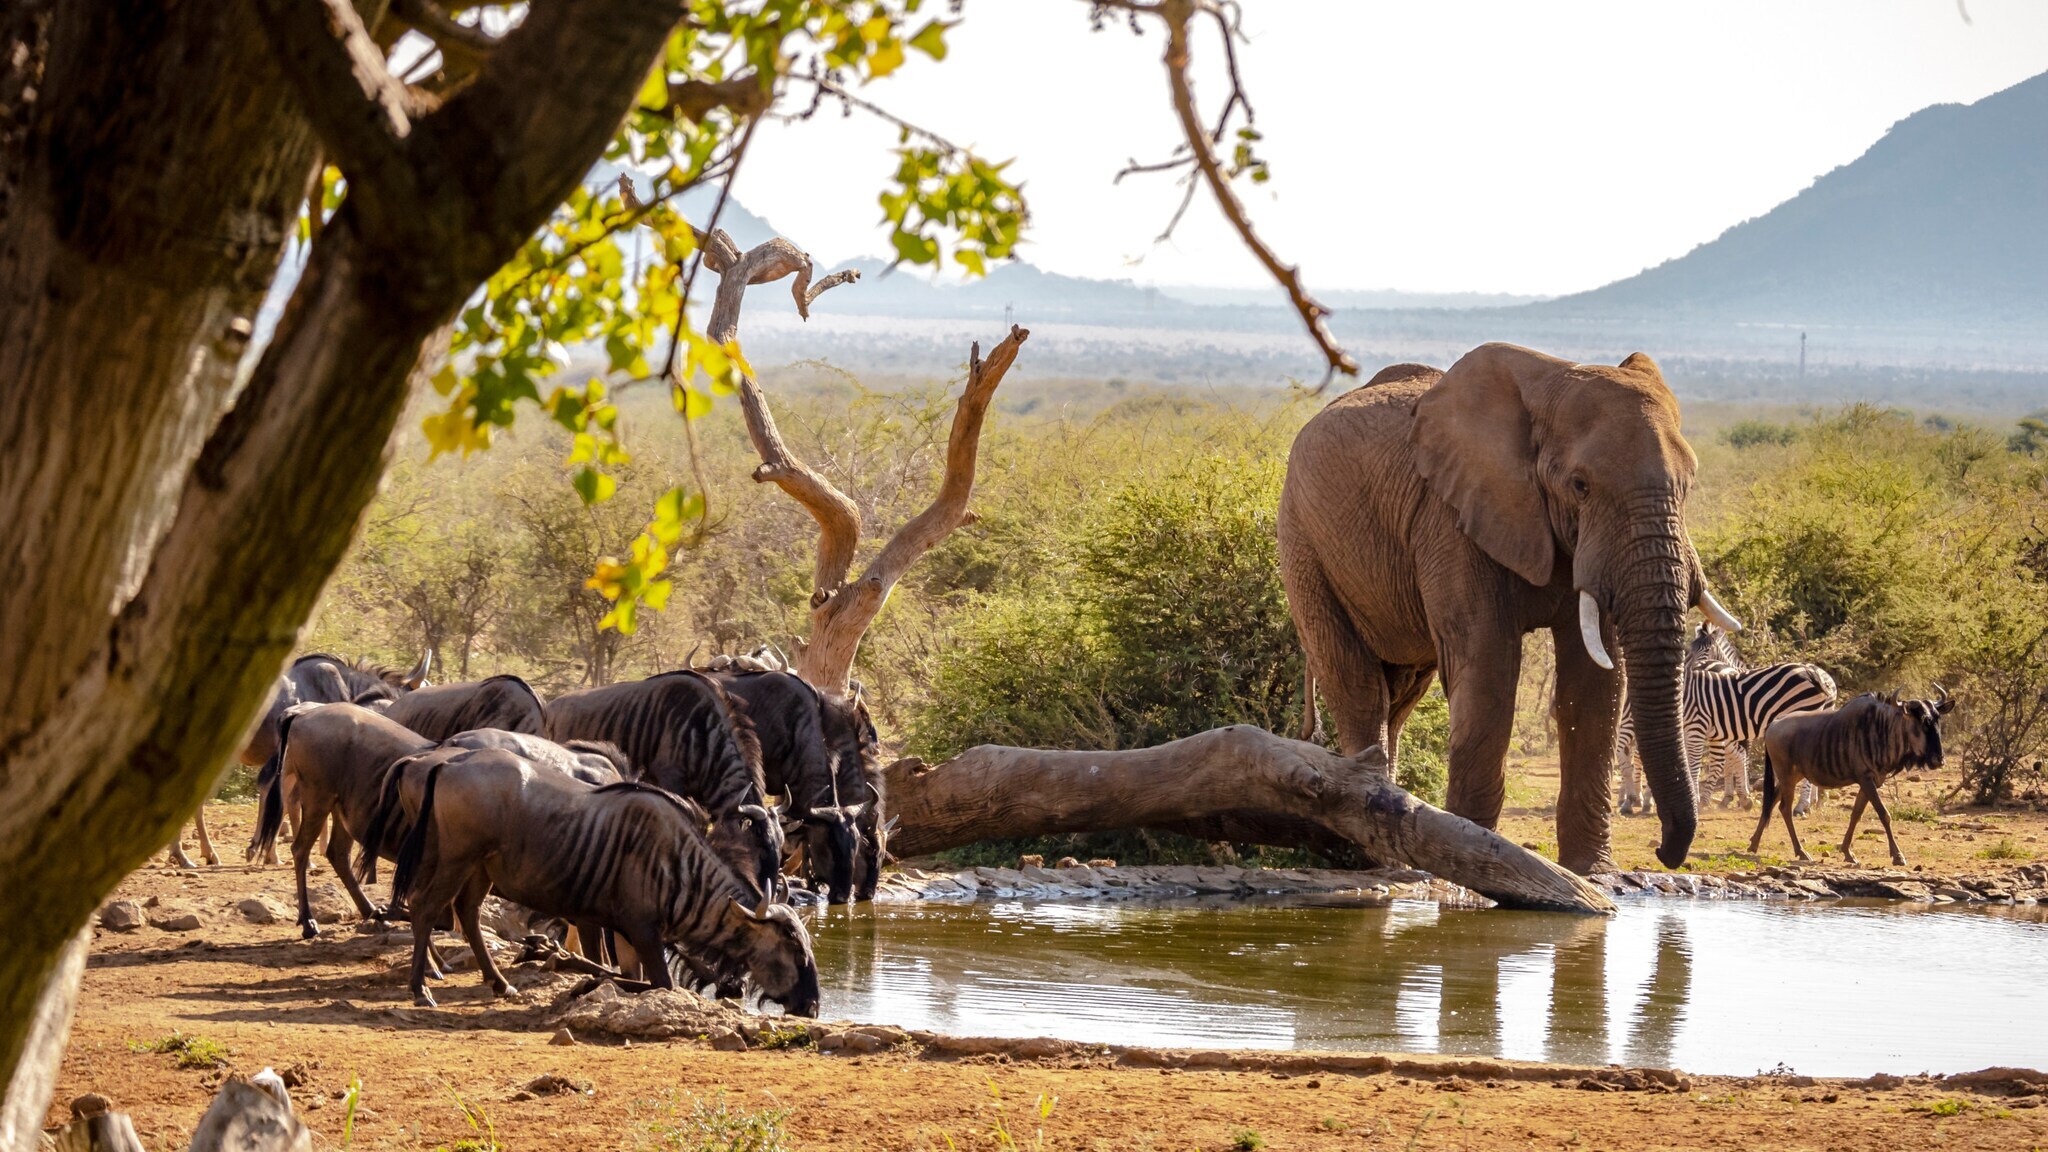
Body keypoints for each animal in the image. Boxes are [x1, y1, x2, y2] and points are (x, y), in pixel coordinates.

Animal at [1277, 344, 1741, 874]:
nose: (1665, 851)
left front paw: (1591, 872)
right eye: (1580, 485)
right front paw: (1465, 862)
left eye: (1689, 486)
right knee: (1359, 687)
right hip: (1303, 543)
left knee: (1400, 693)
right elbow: (1489, 668)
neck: (1549, 382)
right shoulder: (1451, 518)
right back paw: (1378, 856)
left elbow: (1595, 683)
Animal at [1617, 627, 1838, 815]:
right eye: (1689, 650)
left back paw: (1801, 806)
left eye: (1706, 650)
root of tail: (1814, 671)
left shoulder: (1700, 727)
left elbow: (1697, 765)